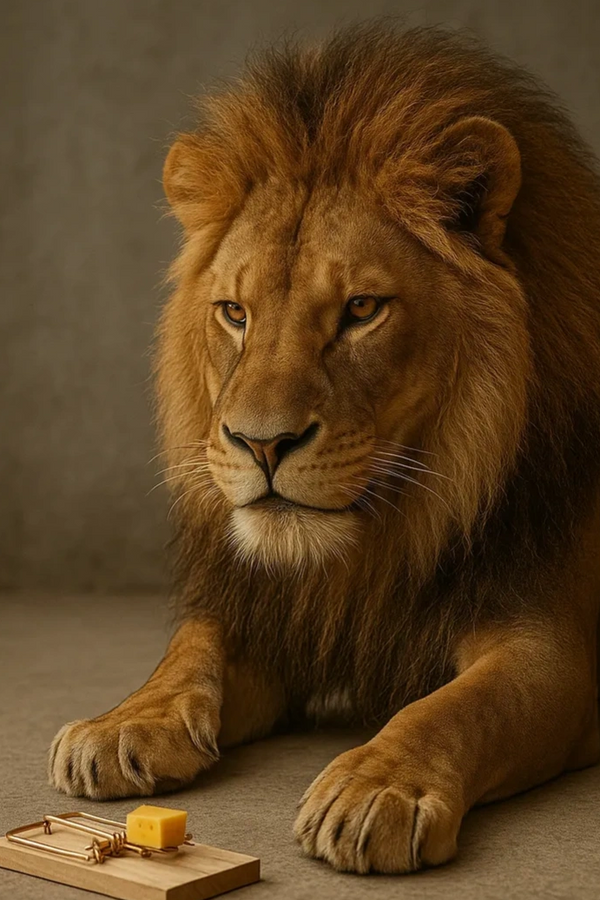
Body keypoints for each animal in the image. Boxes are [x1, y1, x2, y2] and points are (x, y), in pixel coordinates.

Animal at [49, 25, 600, 875]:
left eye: (362, 309)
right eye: (235, 312)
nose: (261, 442)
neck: (382, 541)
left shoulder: (557, 647)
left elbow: (461, 707)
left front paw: (378, 788)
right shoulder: (275, 610)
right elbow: (188, 647)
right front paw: (120, 724)